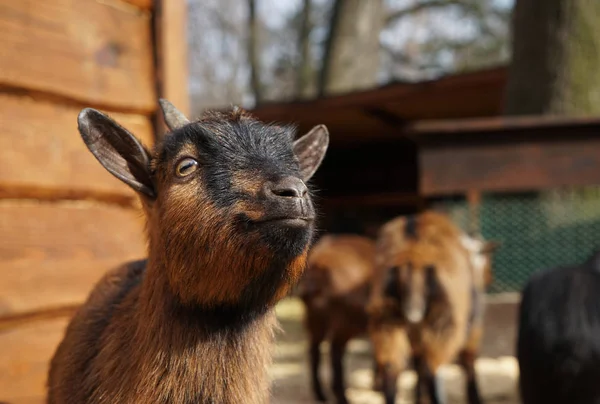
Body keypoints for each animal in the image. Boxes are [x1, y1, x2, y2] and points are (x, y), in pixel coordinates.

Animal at [298, 234, 378, 404]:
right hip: (344, 324)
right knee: (335, 350)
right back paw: (342, 396)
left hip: (314, 319)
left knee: (314, 348)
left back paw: (320, 394)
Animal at [368, 211, 500, 404]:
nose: (489, 279)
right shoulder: (473, 327)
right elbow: (468, 361)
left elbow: (417, 365)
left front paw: (419, 397)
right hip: (442, 323)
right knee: (432, 369)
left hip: (385, 318)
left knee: (392, 368)